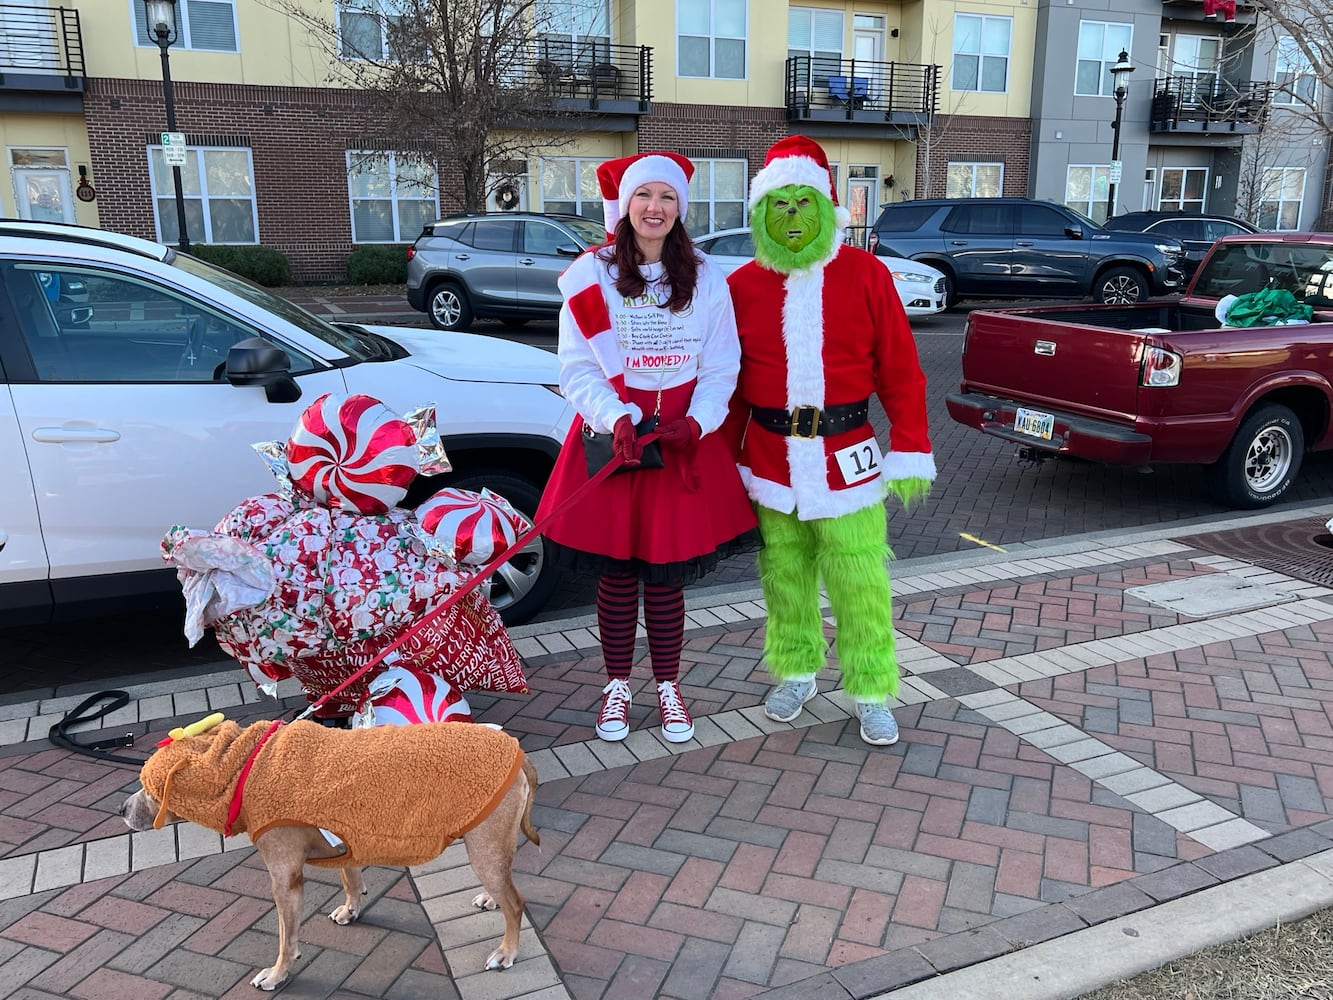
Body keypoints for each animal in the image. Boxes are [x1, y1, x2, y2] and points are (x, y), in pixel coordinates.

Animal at [119, 720, 535, 997]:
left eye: (148, 787)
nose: (121, 809)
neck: (244, 766)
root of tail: (516, 751)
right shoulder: (346, 840)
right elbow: (351, 879)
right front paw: (351, 909)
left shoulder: (284, 879)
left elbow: (286, 938)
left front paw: (278, 974)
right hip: (487, 843)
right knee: (507, 883)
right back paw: (490, 898)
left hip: (484, 847)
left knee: (516, 903)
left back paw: (506, 951)